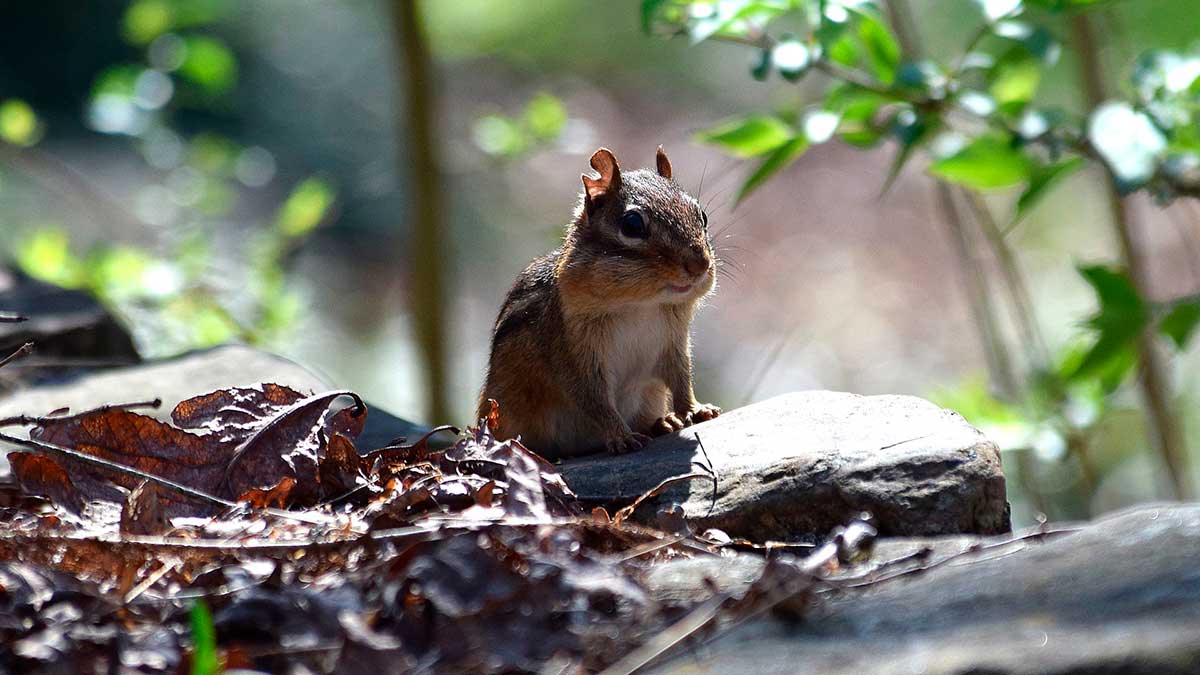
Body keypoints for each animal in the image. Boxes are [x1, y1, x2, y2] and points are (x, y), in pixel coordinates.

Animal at [477, 145, 721, 460]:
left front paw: (694, 409)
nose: (699, 264)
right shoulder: (574, 356)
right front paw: (621, 436)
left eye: (701, 214)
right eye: (632, 224)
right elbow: (594, 400)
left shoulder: (673, 344)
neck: (642, 305)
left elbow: (681, 379)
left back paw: (662, 421)